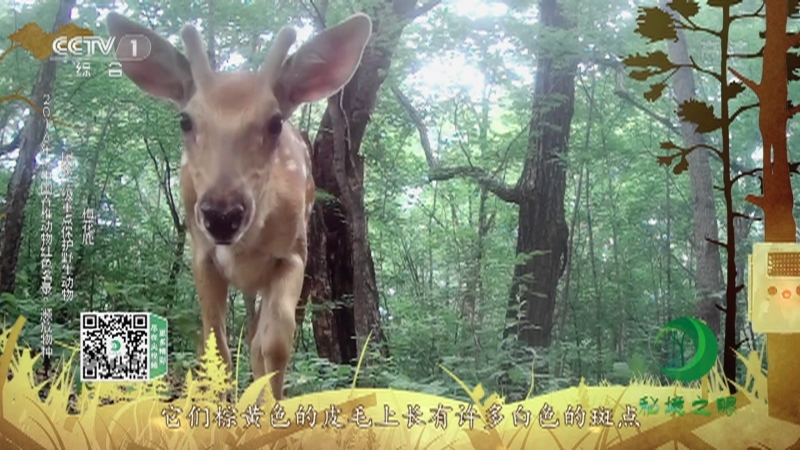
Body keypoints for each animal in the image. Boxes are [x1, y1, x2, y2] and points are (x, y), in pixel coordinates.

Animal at [105, 12, 372, 400]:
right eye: (185, 120)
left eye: (275, 122)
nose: (222, 214)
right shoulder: (202, 256)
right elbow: (215, 345)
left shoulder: (294, 254)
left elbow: (275, 345)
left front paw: (269, 412)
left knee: (257, 339)